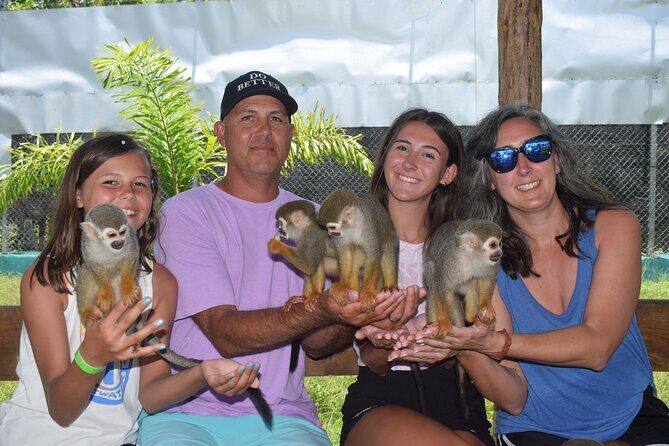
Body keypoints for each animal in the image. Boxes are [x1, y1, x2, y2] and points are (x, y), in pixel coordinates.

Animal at [77, 204, 273, 429]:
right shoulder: (88, 246)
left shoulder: (131, 242)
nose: (119, 242)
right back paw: (90, 312)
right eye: (111, 235)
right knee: (86, 273)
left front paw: (127, 288)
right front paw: (106, 292)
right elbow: (95, 269)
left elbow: (130, 260)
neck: (108, 249)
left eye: (122, 232)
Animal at [420, 218, 503, 421]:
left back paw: (471, 316)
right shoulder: (449, 261)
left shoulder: (490, 265)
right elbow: (442, 287)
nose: (500, 253)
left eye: (500, 242)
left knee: (472, 282)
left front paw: (487, 307)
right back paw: (435, 322)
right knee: (433, 273)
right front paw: (443, 322)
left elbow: (487, 280)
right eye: (493, 244)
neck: (472, 257)